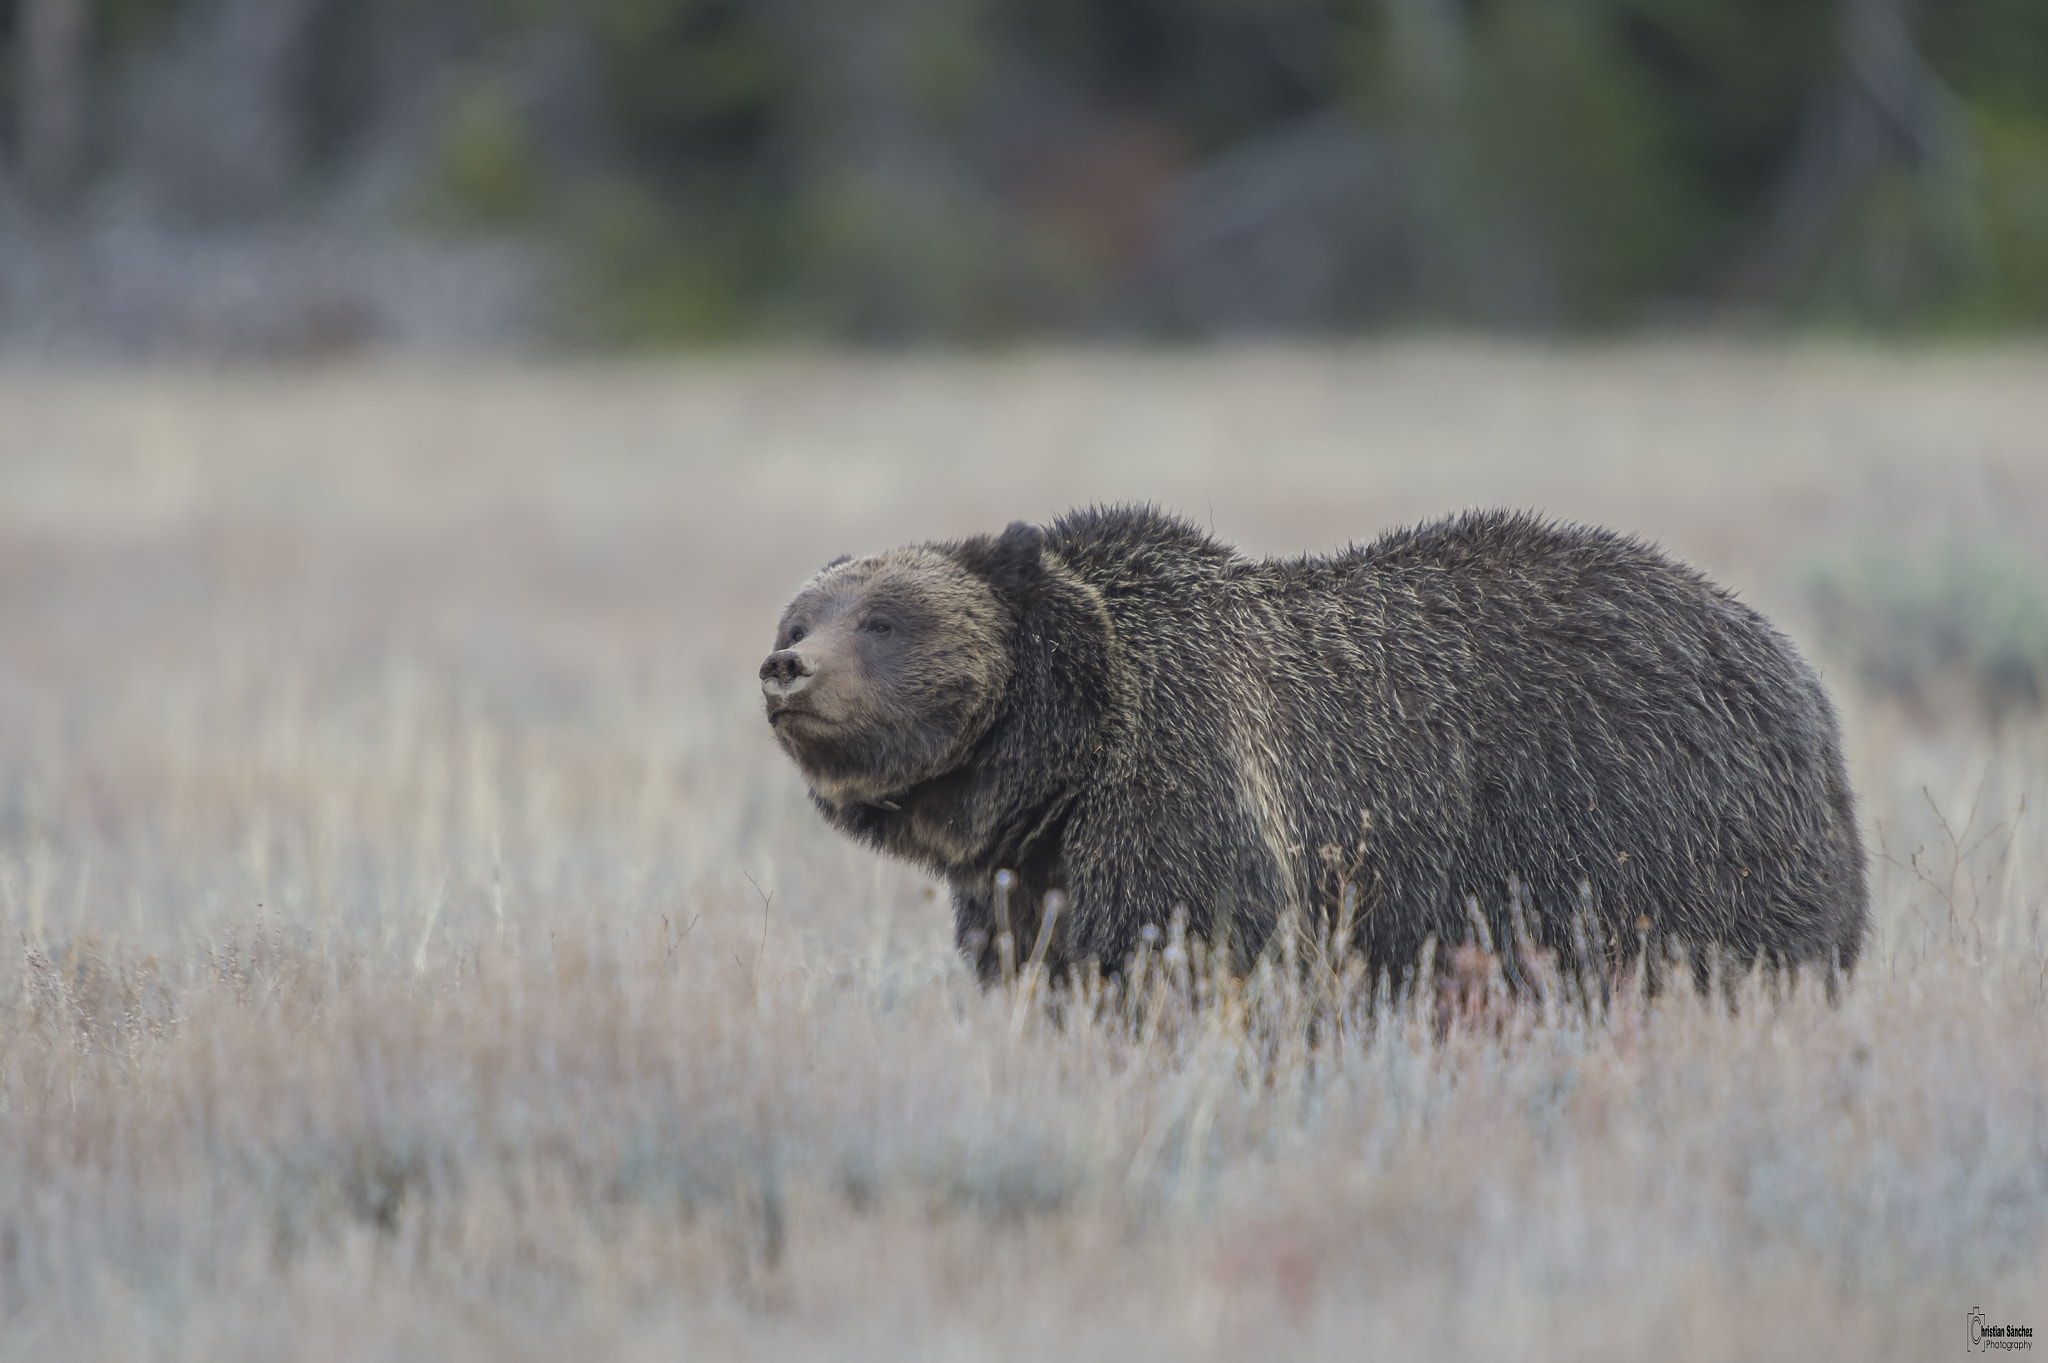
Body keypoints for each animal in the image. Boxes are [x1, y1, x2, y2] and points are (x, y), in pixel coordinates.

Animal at [761, 503, 1867, 982]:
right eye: (802, 612)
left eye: (883, 619)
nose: (786, 669)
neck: (1065, 765)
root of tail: (1803, 679)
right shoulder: (1029, 873)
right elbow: (1045, 966)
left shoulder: (1184, 779)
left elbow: (1196, 940)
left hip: (1669, 833)